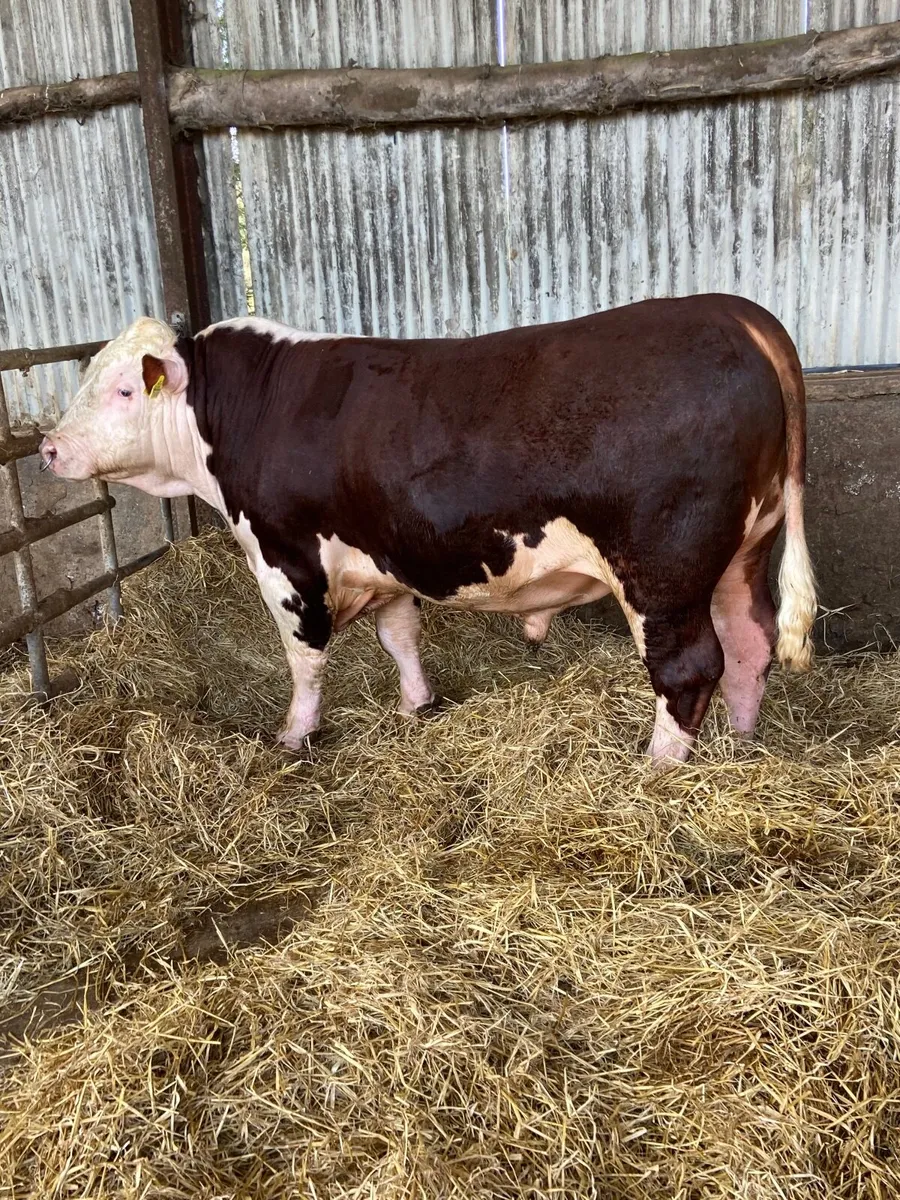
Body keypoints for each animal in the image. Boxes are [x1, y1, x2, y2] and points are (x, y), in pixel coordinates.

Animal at [40, 295, 817, 763]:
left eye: (124, 390)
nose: (48, 448)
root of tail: (732, 312)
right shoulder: (381, 555)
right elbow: (401, 636)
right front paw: (418, 706)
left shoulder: (286, 559)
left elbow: (304, 658)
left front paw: (295, 735)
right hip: (741, 553)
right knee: (749, 645)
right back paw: (742, 745)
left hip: (663, 570)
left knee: (689, 668)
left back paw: (658, 768)